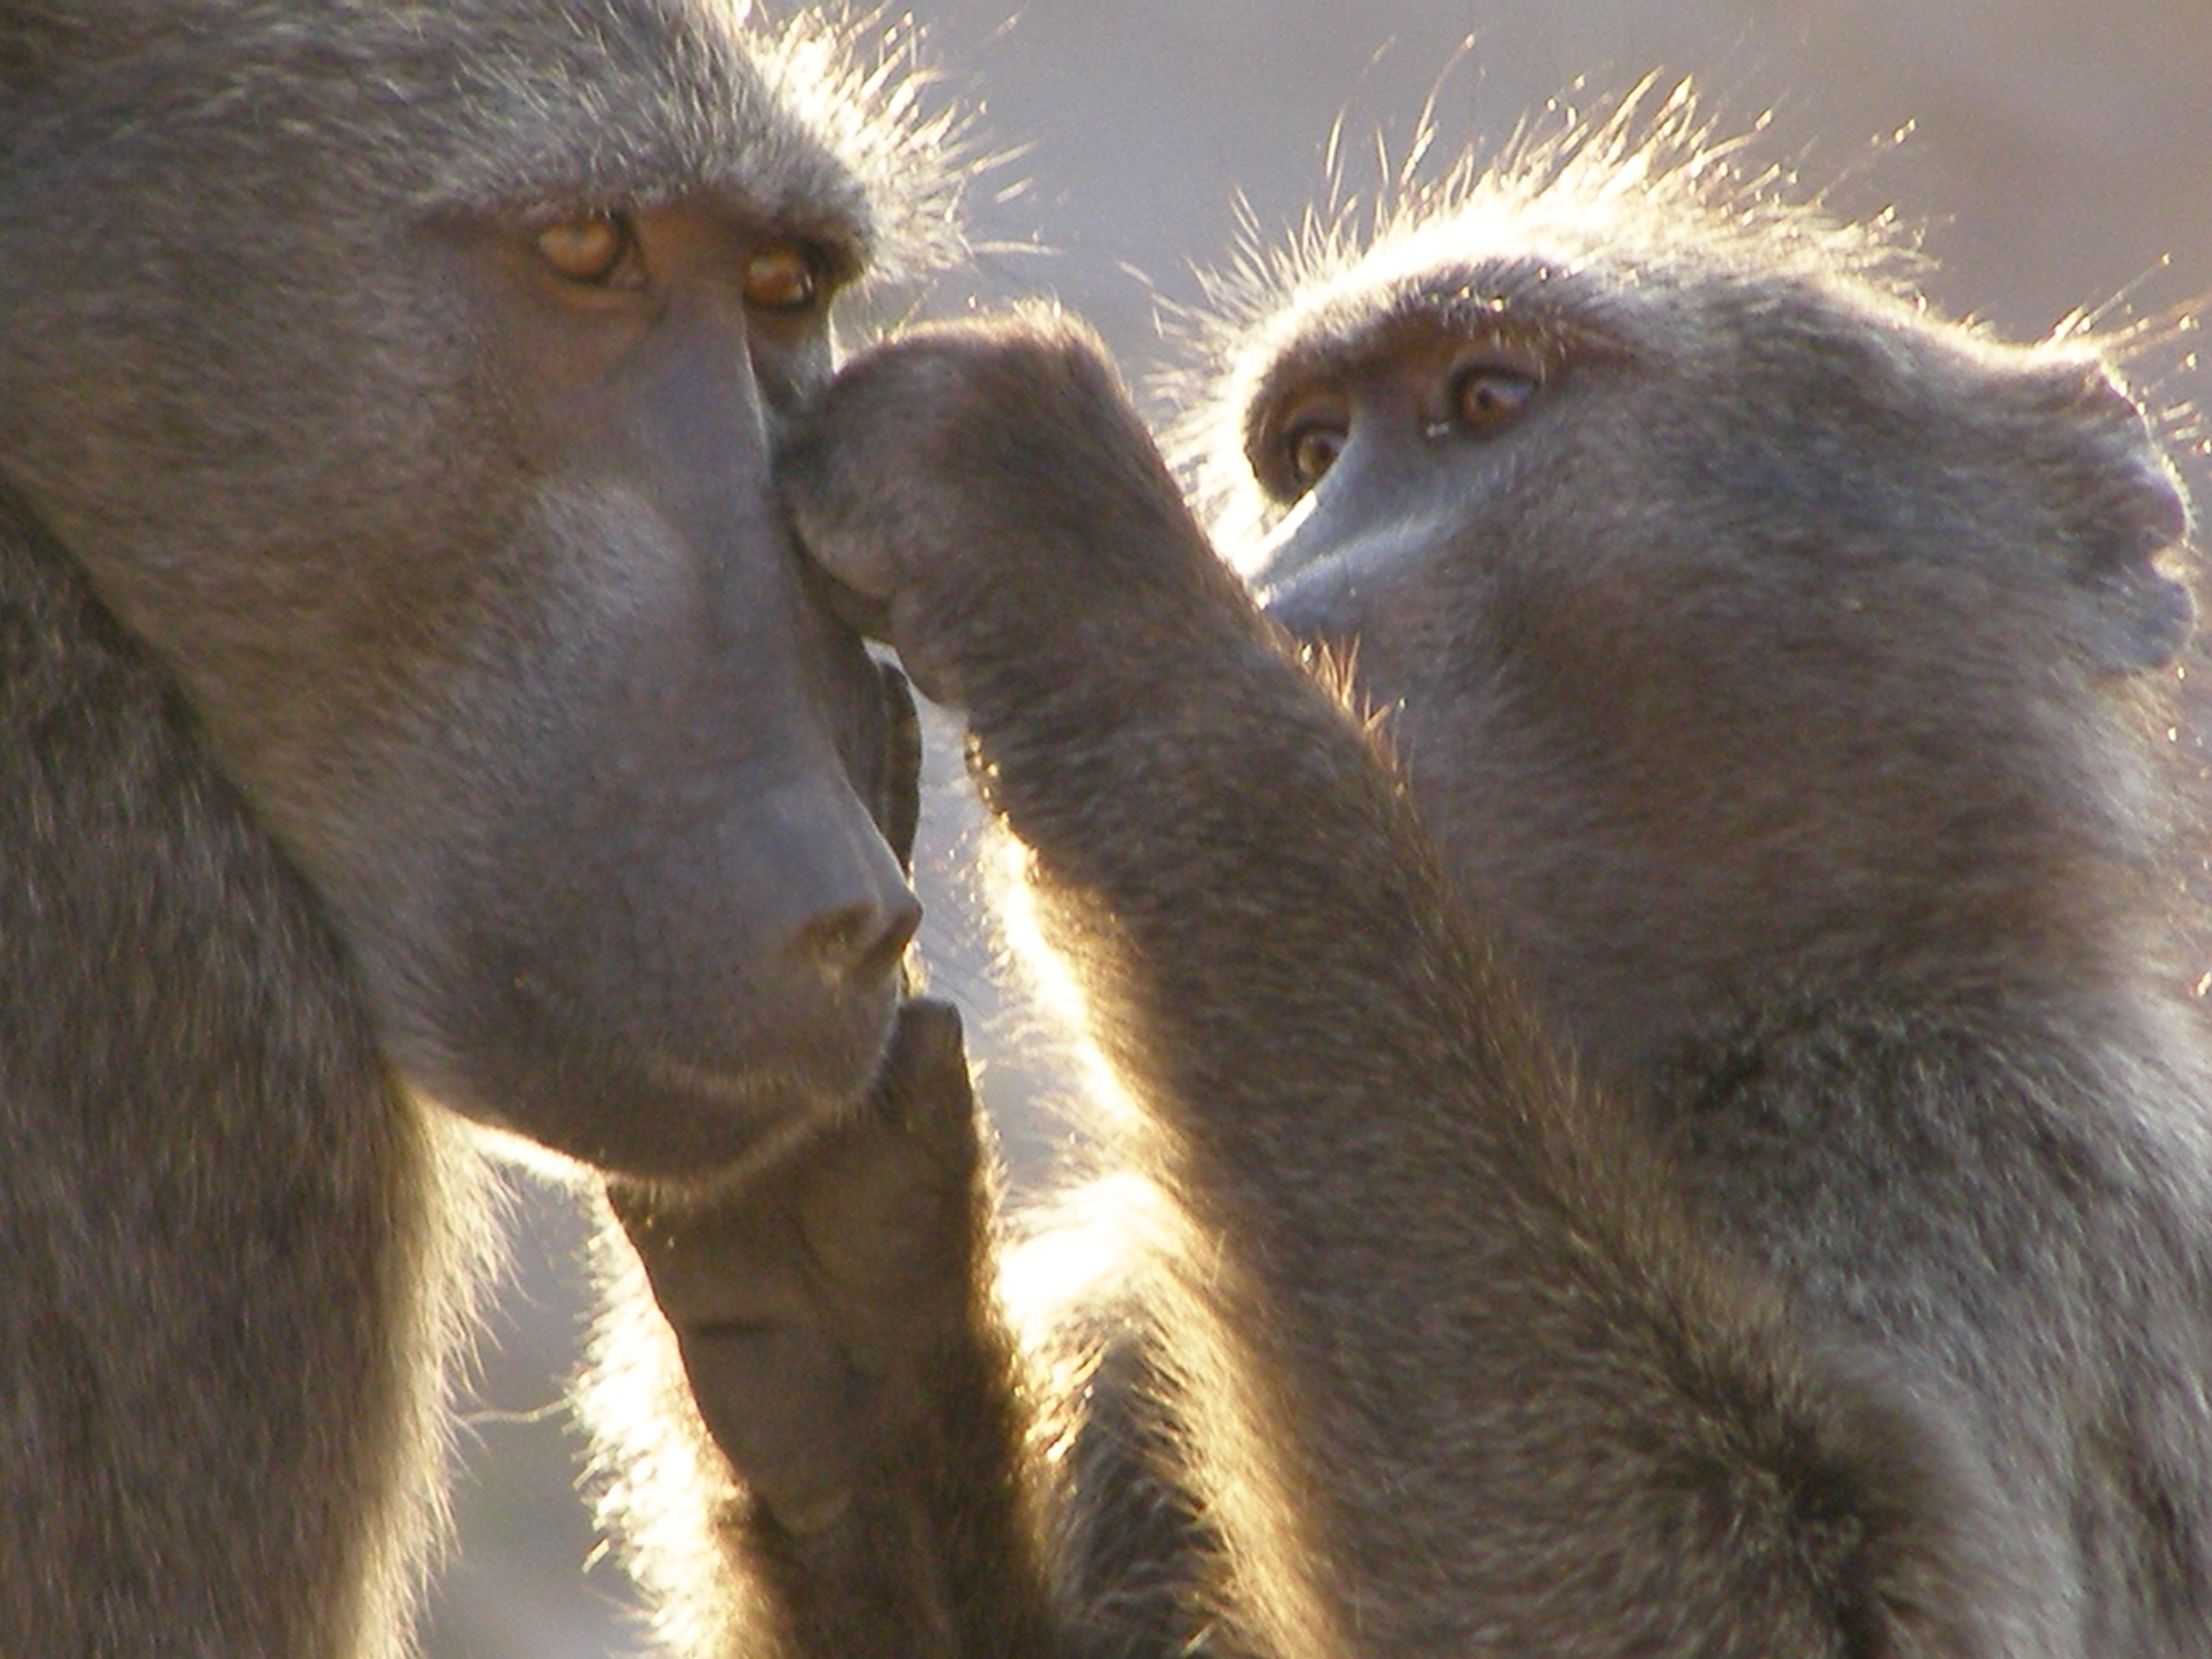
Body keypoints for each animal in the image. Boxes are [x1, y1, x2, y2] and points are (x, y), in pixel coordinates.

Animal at [630, 95, 2212, 1659]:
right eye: (1312, 453)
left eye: (1487, 401)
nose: (1280, 596)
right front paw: (846, 1312)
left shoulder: (1978, 1144)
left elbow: (1773, 1609)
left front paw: (1077, 567)